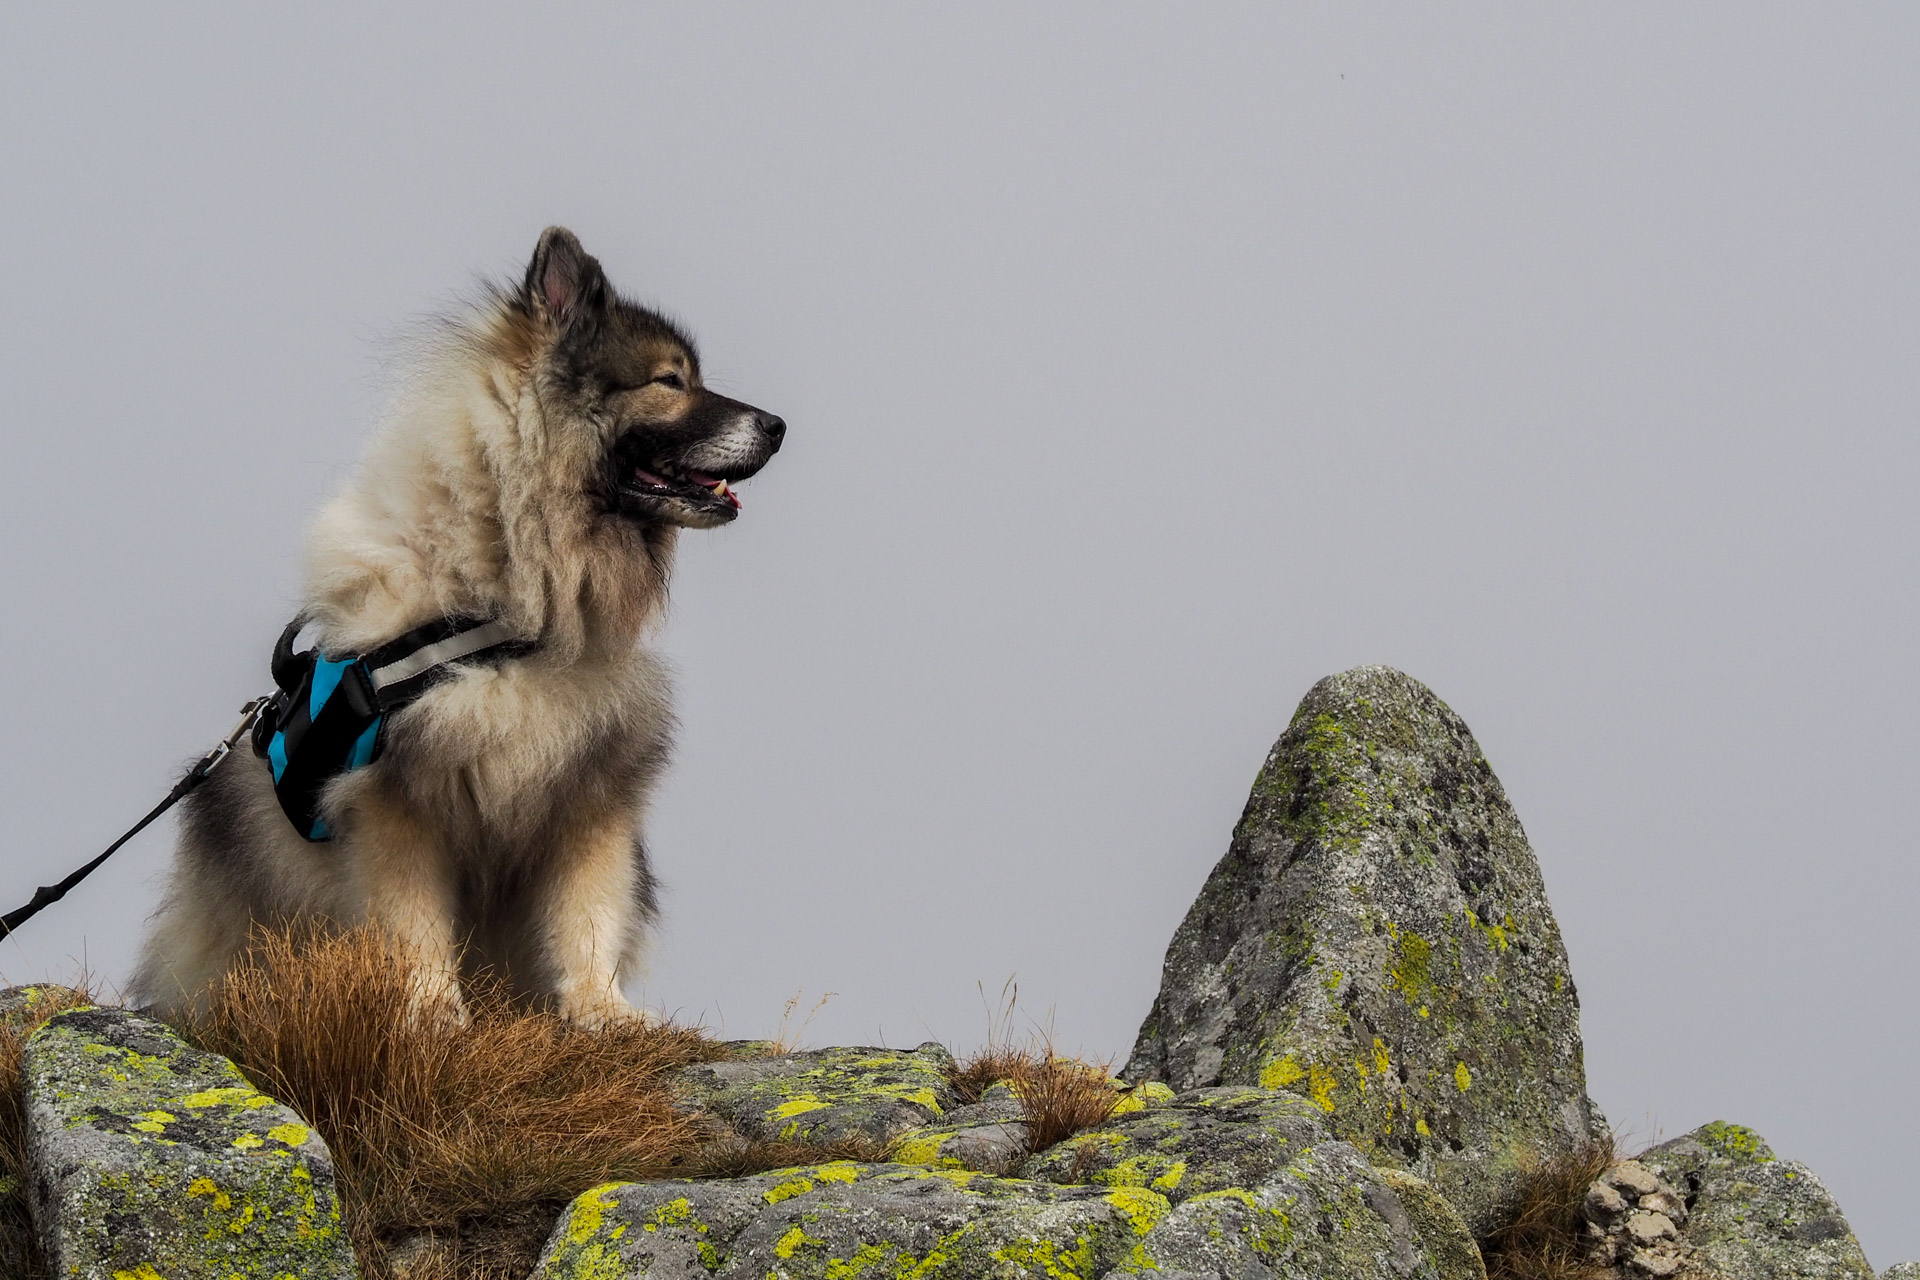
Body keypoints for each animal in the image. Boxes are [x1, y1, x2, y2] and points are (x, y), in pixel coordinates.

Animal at [131, 230, 783, 1028]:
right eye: (669, 380)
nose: (780, 426)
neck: (512, 609)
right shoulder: (397, 798)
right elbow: (414, 923)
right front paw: (433, 1013)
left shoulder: (589, 791)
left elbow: (588, 915)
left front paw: (603, 1012)